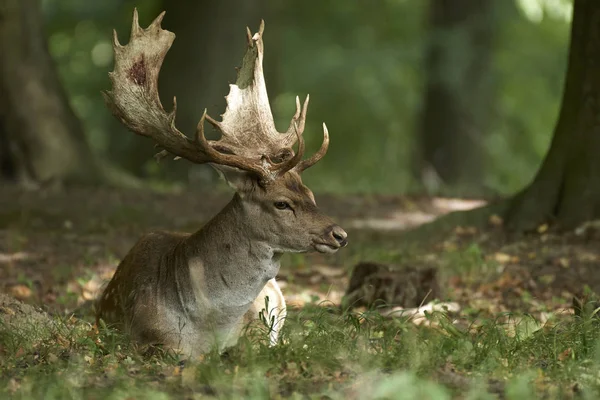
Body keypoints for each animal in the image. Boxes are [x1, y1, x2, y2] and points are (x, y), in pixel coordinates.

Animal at [96, 10, 350, 360]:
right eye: (282, 202)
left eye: (310, 194)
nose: (340, 234)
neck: (208, 325)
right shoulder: (146, 339)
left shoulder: (259, 325)